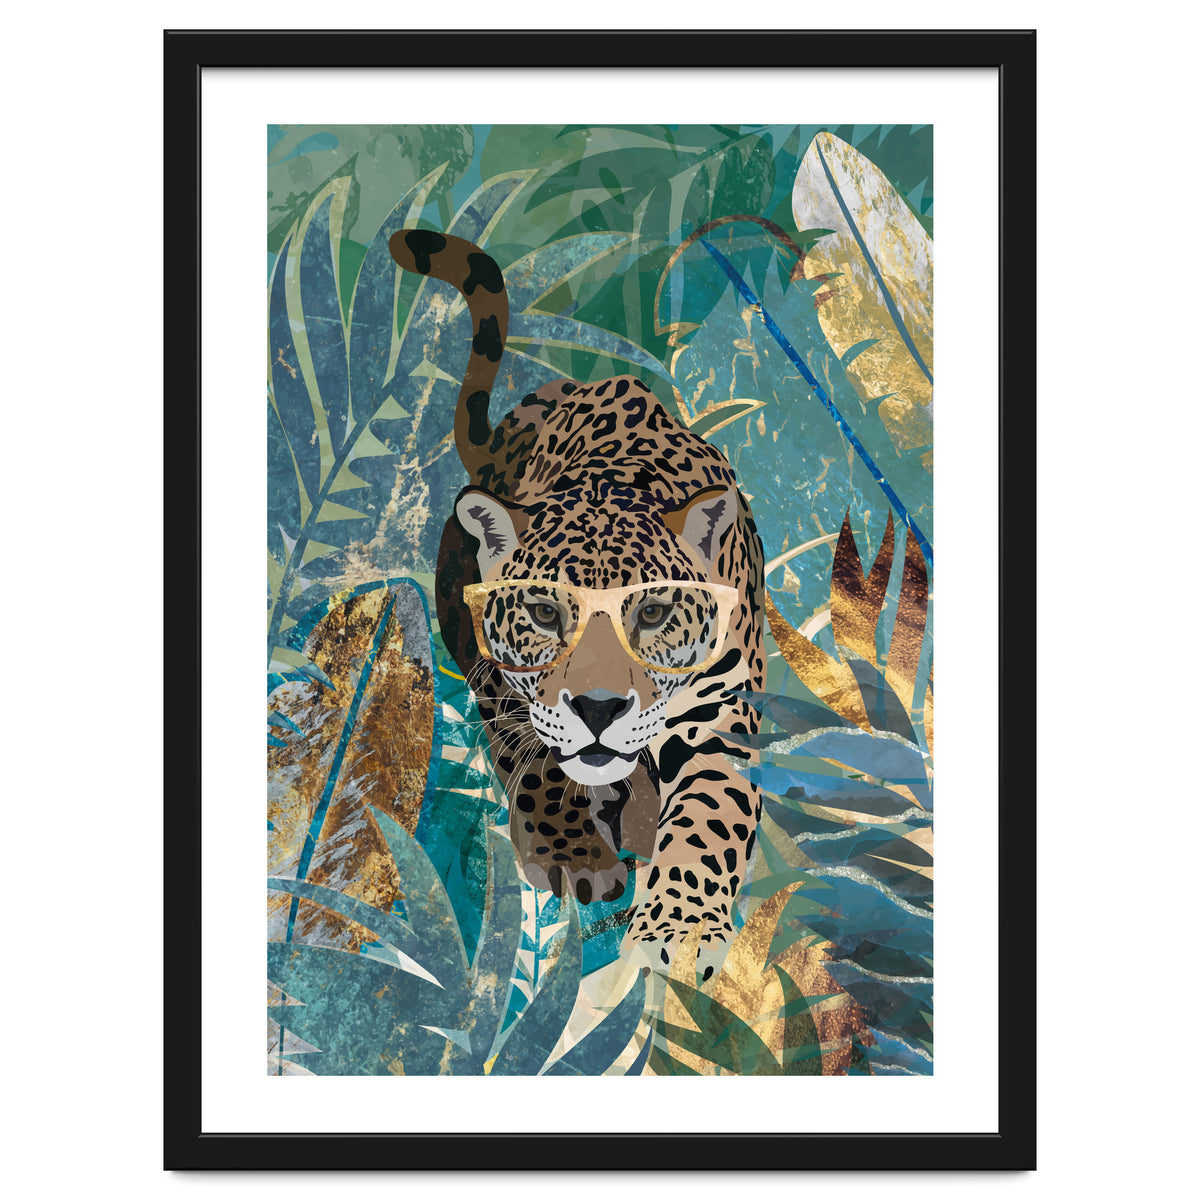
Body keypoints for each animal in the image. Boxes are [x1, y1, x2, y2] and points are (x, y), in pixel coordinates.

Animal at [388, 229, 765, 980]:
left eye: (651, 613)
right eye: (543, 613)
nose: (597, 709)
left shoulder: (720, 715)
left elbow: (710, 813)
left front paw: (678, 929)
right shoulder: (501, 678)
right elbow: (534, 758)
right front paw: (572, 853)